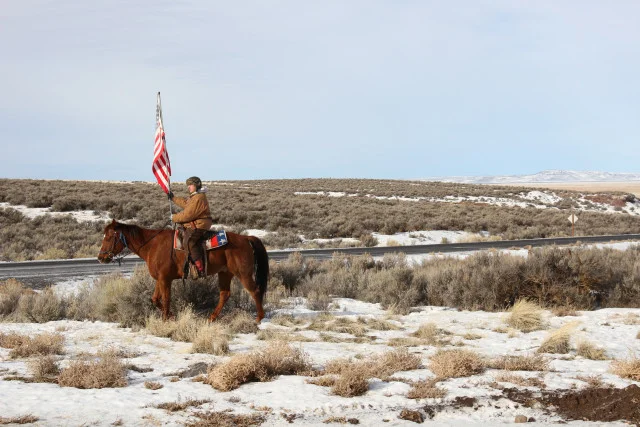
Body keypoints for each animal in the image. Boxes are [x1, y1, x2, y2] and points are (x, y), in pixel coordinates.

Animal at [97, 219, 269, 323]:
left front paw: (165, 319)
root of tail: (246, 238)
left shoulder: (165, 279)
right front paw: (171, 316)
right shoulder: (160, 279)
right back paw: (212, 318)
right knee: (225, 294)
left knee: (255, 291)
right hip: (225, 273)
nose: (101, 257)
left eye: (109, 237)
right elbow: (155, 299)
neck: (152, 245)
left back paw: (259, 318)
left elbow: (166, 299)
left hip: (243, 274)